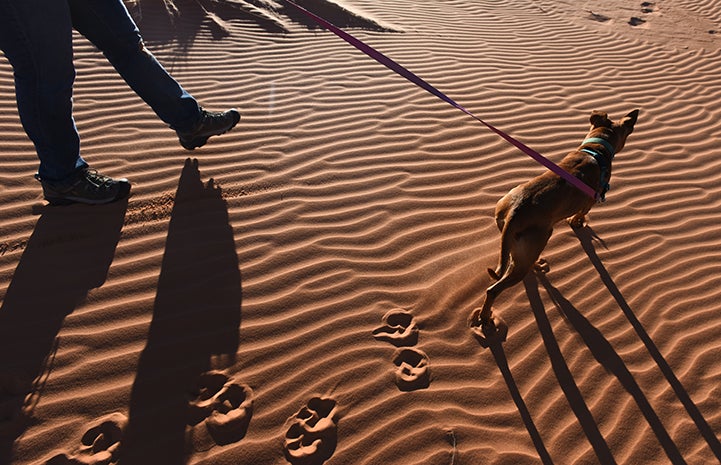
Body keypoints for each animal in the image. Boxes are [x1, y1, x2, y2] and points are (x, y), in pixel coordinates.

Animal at [470, 109, 640, 330]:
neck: (595, 150)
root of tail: (515, 211)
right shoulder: (589, 202)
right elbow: (580, 215)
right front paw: (577, 223)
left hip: (518, 244)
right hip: (534, 244)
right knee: (493, 290)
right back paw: (485, 318)